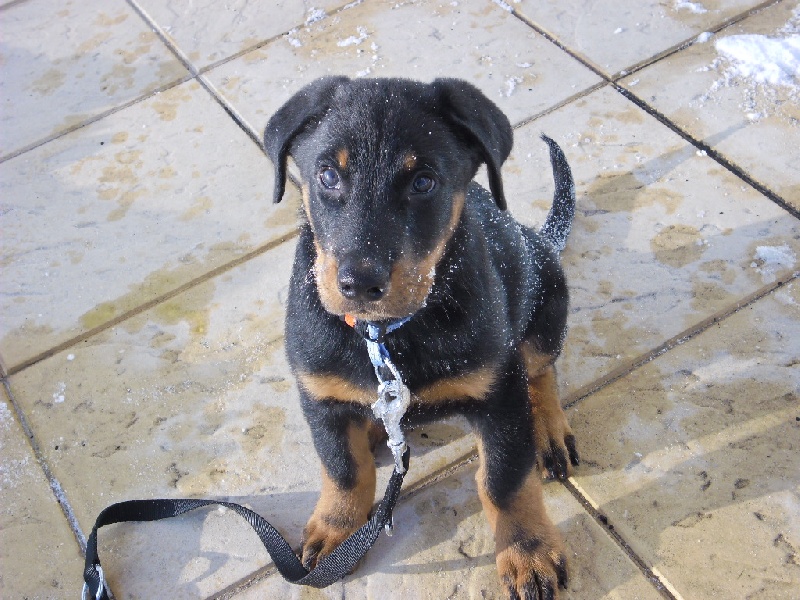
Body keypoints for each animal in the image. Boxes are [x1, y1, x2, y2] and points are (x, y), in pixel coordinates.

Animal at [264, 77, 579, 599]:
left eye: (423, 182)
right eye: (327, 175)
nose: (359, 283)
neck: (386, 334)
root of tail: (541, 241)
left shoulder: (498, 395)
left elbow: (505, 480)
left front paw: (527, 551)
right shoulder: (320, 395)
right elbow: (343, 469)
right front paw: (337, 530)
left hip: (546, 306)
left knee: (542, 370)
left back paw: (549, 431)